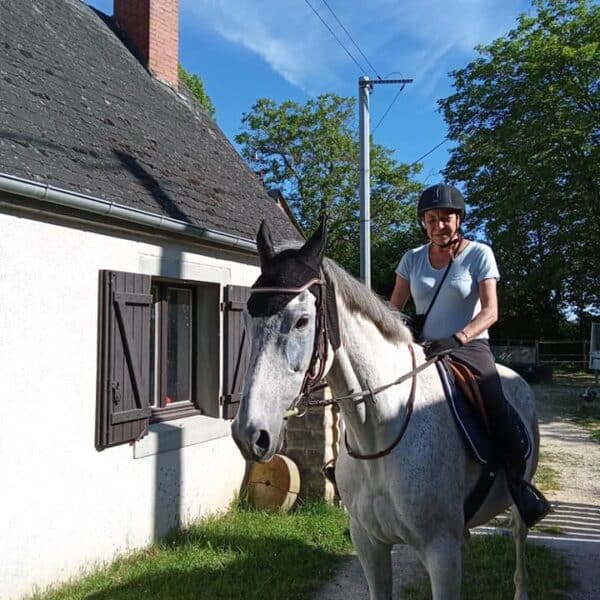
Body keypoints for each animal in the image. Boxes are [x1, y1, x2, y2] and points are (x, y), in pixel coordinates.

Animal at [231, 221, 540, 600]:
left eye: (302, 321)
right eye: (247, 319)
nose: (250, 434)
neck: (380, 432)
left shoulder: (441, 551)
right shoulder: (369, 543)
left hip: (519, 501)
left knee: (519, 536)